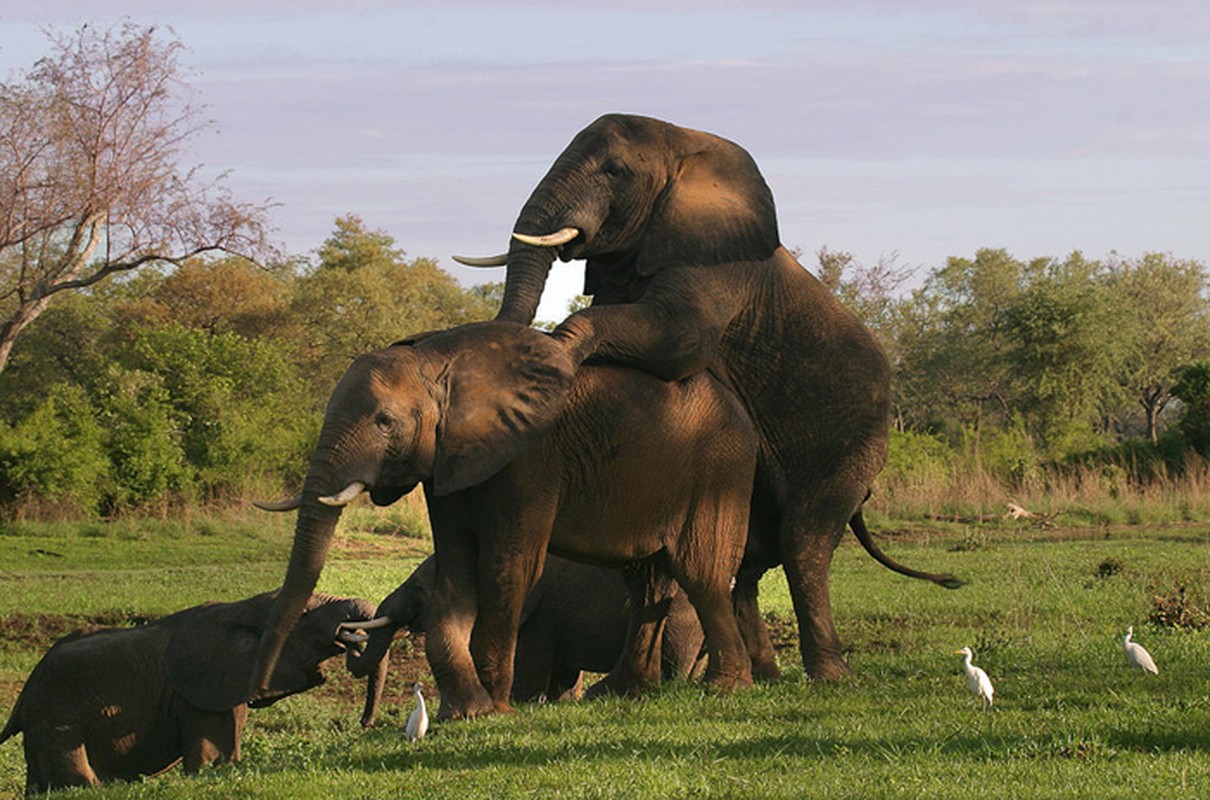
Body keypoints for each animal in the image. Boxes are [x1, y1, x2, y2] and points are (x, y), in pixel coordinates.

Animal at [346, 551, 706, 701]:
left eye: (419, 588)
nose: (347, 633)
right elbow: (561, 677)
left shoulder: (537, 617)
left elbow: (530, 673)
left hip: (681, 616)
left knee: (675, 662)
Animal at [457, 110, 958, 682]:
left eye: (614, 171)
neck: (684, 146)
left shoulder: (717, 267)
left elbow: (678, 338)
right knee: (744, 559)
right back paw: (752, 677)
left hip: (852, 442)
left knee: (804, 544)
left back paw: (827, 677)